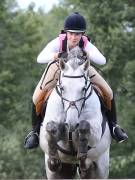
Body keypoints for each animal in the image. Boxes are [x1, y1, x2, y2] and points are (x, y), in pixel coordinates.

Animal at [39, 46, 111, 179]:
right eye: (62, 88)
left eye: (83, 88)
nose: (71, 124)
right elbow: (51, 128)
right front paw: (53, 160)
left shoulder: (96, 132)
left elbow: (84, 126)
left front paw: (82, 156)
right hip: (59, 172)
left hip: (101, 168)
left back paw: (85, 166)